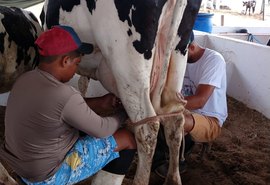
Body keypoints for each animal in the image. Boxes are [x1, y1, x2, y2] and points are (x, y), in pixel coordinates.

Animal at [41, 0, 201, 184]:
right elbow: (83, 84)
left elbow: (80, 85)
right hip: (178, 58)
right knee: (175, 120)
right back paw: (173, 179)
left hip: (127, 66)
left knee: (148, 127)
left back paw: (140, 180)